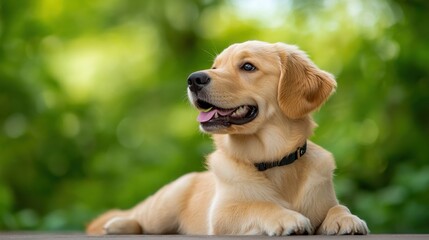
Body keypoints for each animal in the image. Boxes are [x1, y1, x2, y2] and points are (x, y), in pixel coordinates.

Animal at [86, 40, 368, 235]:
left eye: (248, 66)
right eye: (215, 67)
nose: (193, 79)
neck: (273, 159)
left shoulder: (325, 197)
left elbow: (337, 206)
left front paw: (346, 218)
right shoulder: (223, 214)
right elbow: (259, 206)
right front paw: (288, 217)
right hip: (164, 203)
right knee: (139, 218)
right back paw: (117, 224)